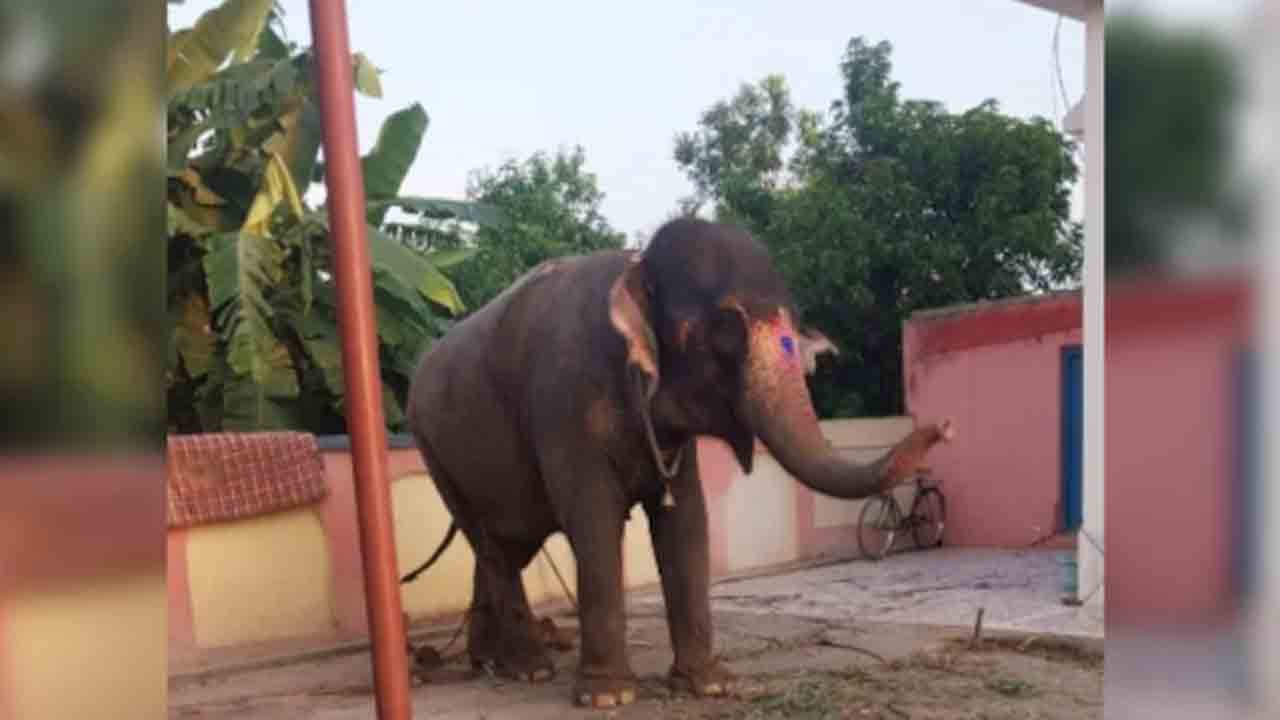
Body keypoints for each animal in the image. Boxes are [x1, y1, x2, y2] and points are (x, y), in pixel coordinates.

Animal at [401, 217, 953, 708]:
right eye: (724, 334)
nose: (943, 428)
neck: (637, 266)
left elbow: (686, 518)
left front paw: (710, 685)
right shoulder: (564, 406)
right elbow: (593, 519)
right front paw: (608, 697)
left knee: (505, 545)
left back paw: (489, 664)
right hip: (435, 450)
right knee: (493, 545)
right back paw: (530, 670)